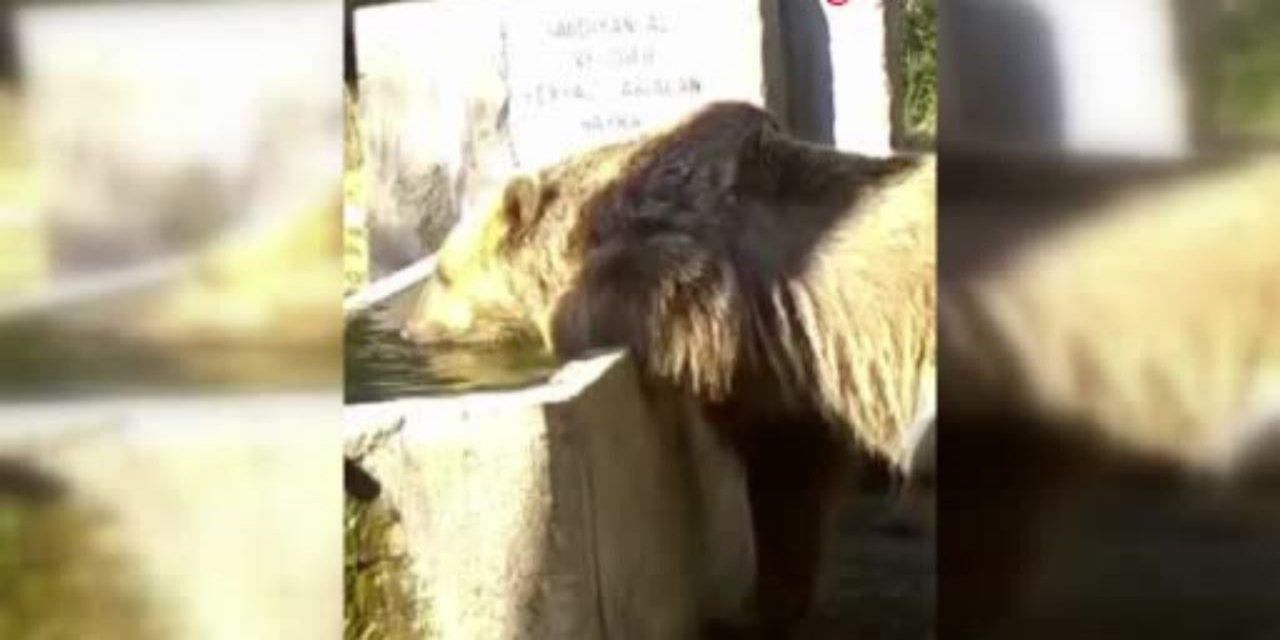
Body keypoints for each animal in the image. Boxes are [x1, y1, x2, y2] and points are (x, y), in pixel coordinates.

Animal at [404, 102, 936, 637]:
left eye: (442, 274)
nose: (409, 330)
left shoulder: (710, 298)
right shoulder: (787, 367)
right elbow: (790, 472)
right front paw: (770, 603)